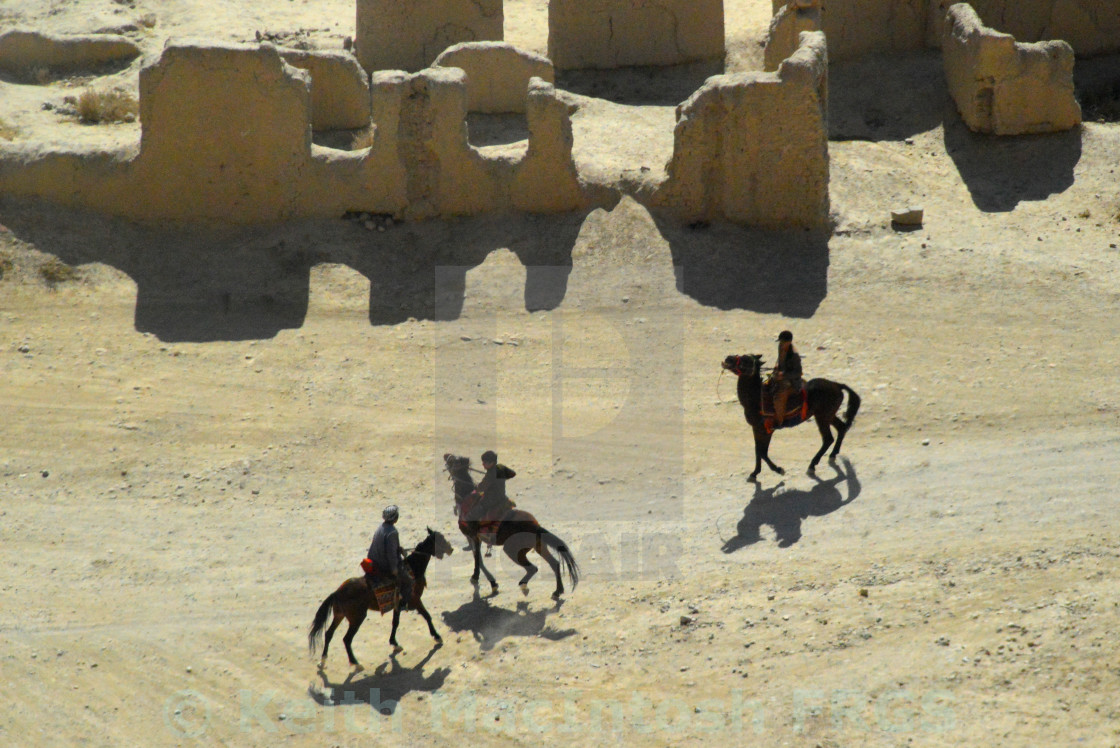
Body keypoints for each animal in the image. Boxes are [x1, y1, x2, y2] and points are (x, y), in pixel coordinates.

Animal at [309, 528, 452, 667]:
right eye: (440, 539)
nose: (451, 549)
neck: (413, 568)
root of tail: (337, 592)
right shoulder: (415, 599)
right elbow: (427, 616)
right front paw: (437, 636)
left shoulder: (397, 605)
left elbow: (395, 622)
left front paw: (394, 643)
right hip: (357, 618)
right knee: (346, 639)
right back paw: (355, 663)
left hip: (339, 615)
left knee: (329, 633)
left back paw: (323, 660)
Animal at [439, 452, 577, 600]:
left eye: (453, 461)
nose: (446, 455)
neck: (466, 498)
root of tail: (535, 527)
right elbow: (478, 559)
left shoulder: (472, 536)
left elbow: (478, 559)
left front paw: (485, 581)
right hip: (539, 545)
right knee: (554, 563)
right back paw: (557, 591)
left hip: (512, 549)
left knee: (533, 568)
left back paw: (524, 586)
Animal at [721, 356, 860, 481]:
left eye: (746, 360)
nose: (727, 359)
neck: (756, 399)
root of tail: (837, 385)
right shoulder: (756, 429)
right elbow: (758, 450)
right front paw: (755, 473)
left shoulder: (767, 430)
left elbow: (762, 452)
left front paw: (778, 470)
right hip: (827, 415)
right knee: (841, 428)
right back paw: (832, 455)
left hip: (822, 417)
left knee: (828, 439)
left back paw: (812, 466)